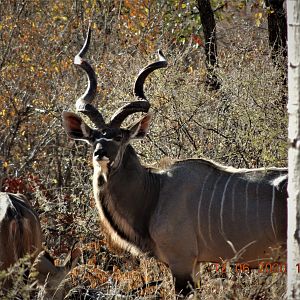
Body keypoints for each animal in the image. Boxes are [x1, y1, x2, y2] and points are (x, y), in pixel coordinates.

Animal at [61, 27, 288, 294]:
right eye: (93, 138)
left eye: (119, 137)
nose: (100, 154)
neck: (155, 191)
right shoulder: (195, 264)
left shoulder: (182, 262)